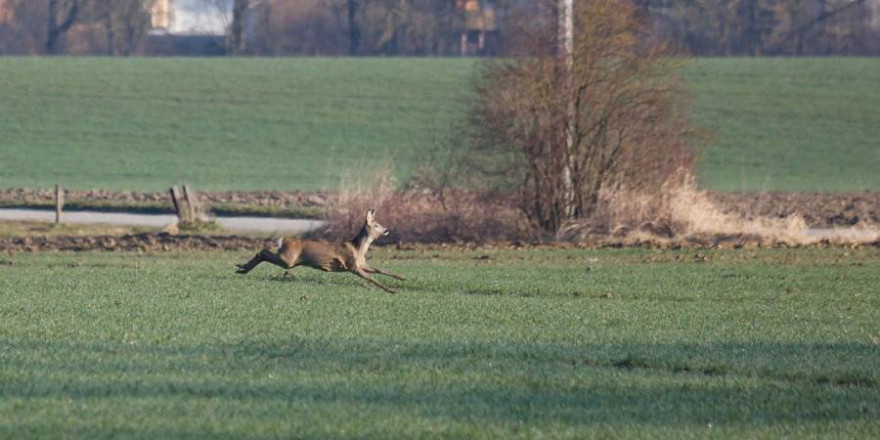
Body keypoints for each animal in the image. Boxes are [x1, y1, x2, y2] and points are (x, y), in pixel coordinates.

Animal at [237, 209, 410, 292]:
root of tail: (283, 240)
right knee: (262, 252)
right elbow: (372, 279)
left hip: (288, 259)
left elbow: (380, 270)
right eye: (376, 225)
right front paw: (391, 290)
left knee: (263, 253)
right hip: (288, 259)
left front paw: (401, 277)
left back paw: (242, 268)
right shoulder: (352, 266)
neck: (358, 249)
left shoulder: (361, 264)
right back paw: (242, 268)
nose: (386, 230)